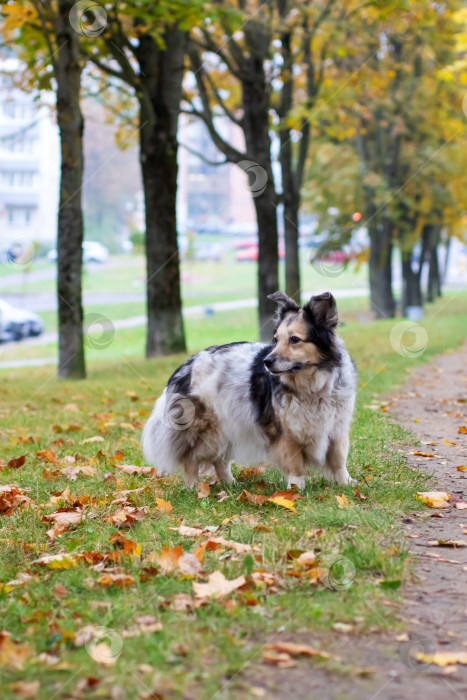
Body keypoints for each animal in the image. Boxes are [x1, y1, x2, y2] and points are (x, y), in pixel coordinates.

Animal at [141, 292, 356, 490]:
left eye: (295, 339)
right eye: (276, 339)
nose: (267, 361)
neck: (312, 387)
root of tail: (186, 366)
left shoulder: (336, 429)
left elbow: (338, 460)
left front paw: (346, 483)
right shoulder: (286, 434)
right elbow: (295, 466)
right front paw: (295, 490)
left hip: (227, 427)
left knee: (219, 460)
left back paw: (230, 484)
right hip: (207, 430)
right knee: (191, 459)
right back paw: (194, 488)